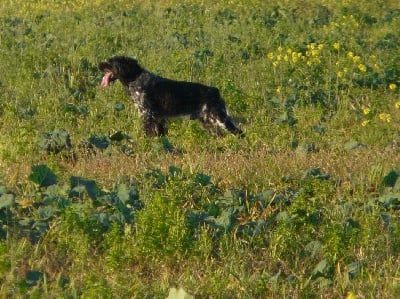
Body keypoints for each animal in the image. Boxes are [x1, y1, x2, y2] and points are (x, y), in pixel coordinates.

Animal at [100, 56, 244, 138]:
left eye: (109, 62)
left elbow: (147, 134)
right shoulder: (158, 118)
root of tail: (215, 91)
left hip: (219, 118)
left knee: (239, 132)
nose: (98, 65)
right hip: (208, 122)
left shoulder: (147, 114)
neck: (135, 78)